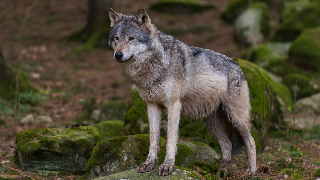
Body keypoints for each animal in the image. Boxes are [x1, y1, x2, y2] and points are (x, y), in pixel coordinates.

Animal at [109, 8, 256, 176]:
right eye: (116, 38)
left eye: (131, 38)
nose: (118, 54)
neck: (155, 66)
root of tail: (238, 66)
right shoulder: (152, 106)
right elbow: (153, 139)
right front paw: (149, 163)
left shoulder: (173, 105)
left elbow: (171, 139)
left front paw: (167, 166)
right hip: (211, 123)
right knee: (227, 144)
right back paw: (221, 170)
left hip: (236, 118)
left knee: (251, 141)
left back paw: (251, 170)